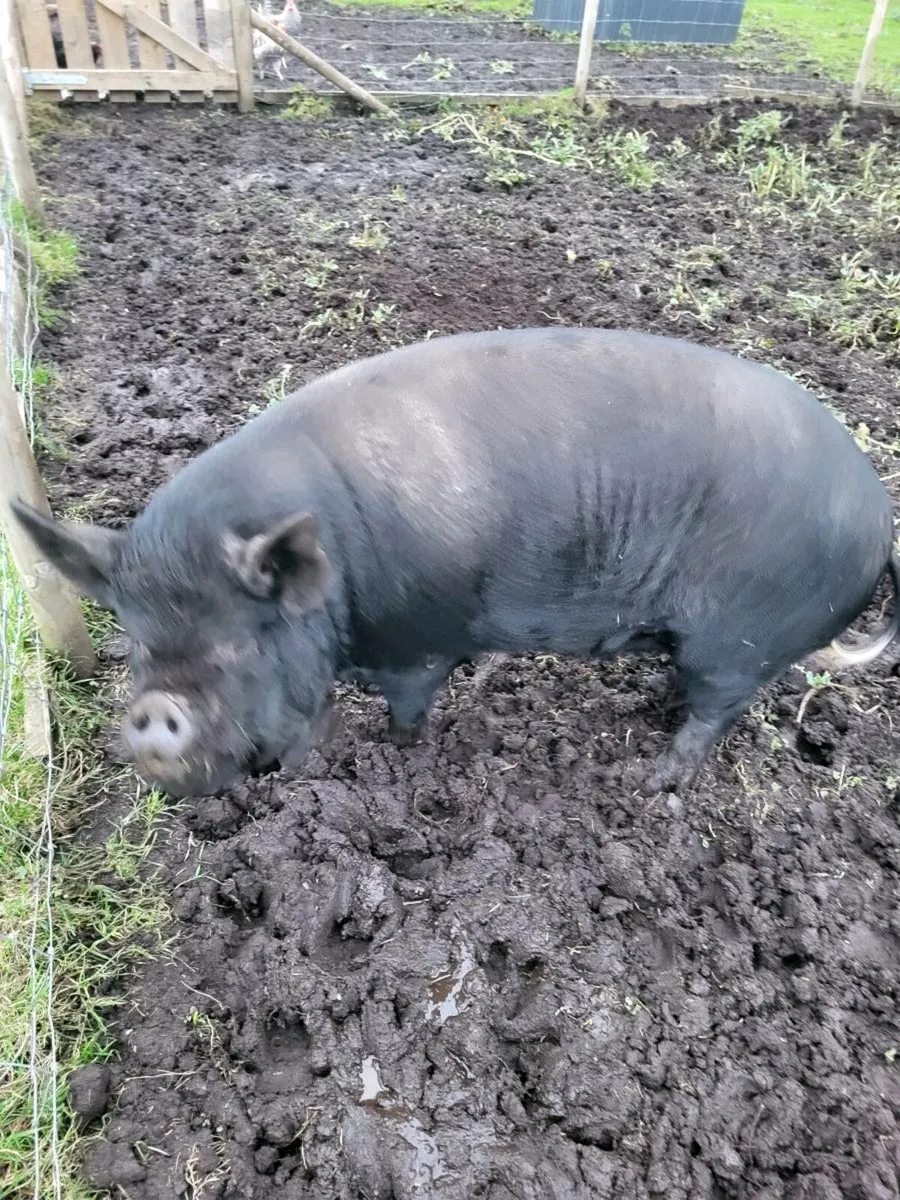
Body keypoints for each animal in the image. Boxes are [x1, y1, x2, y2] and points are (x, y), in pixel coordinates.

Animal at [10, 327, 899, 799]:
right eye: (137, 644)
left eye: (237, 642)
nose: (154, 712)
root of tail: (880, 520)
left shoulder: (419, 643)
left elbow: (406, 712)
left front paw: (390, 759)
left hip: (741, 640)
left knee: (716, 712)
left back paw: (651, 779)